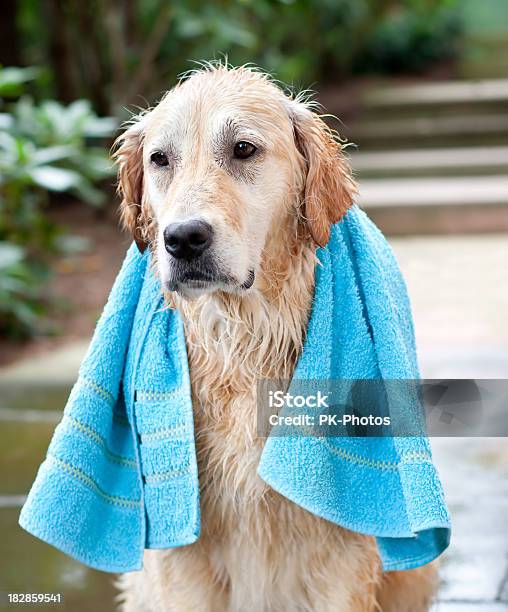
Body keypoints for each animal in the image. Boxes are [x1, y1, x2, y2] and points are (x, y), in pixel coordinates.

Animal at [113, 63, 438, 612]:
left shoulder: (341, 550)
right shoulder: (181, 555)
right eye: (160, 159)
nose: (182, 239)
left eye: (244, 149)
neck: (243, 338)